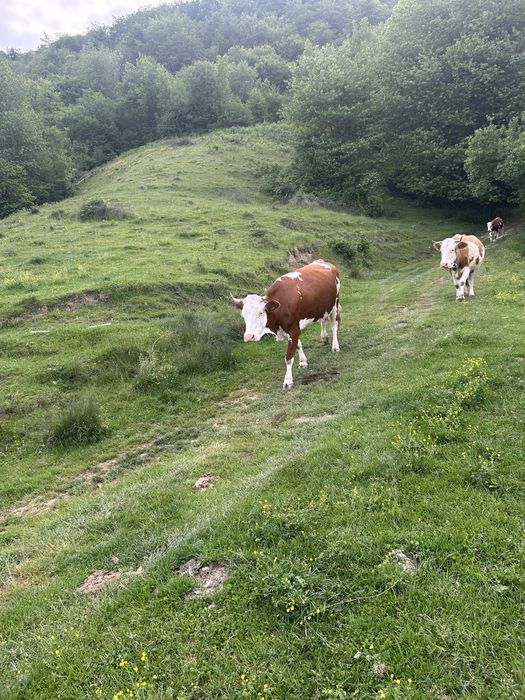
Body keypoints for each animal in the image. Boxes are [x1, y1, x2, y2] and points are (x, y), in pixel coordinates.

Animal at [231, 260, 341, 389]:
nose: (249, 337)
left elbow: (289, 357)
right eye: (243, 315)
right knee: (323, 320)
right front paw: (303, 362)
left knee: (334, 325)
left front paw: (288, 381)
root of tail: (323, 261)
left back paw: (335, 346)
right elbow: (298, 345)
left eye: (261, 312)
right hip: (323, 307)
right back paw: (324, 337)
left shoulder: (294, 329)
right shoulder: (291, 329)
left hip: (335, 304)